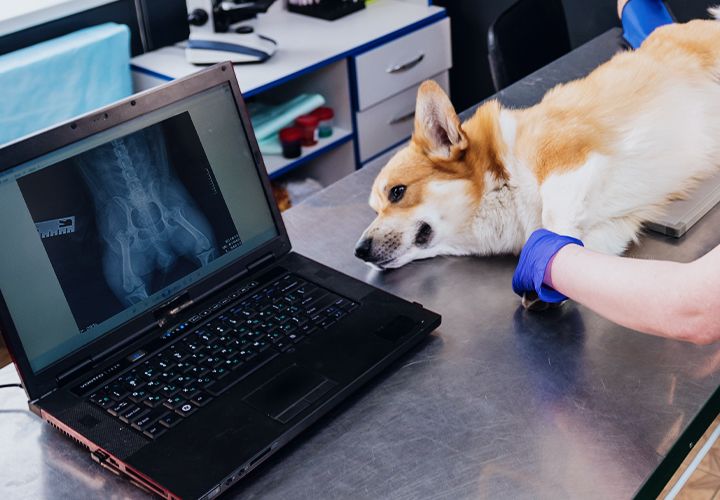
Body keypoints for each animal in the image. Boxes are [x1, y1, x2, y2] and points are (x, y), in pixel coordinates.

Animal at [358, 15, 720, 282]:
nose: (359, 251)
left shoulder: (565, 157)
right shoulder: (613, 227)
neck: (501, 192)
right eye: (374, 208)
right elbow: (582, 250)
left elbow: (553, 217)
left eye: (397, 192)